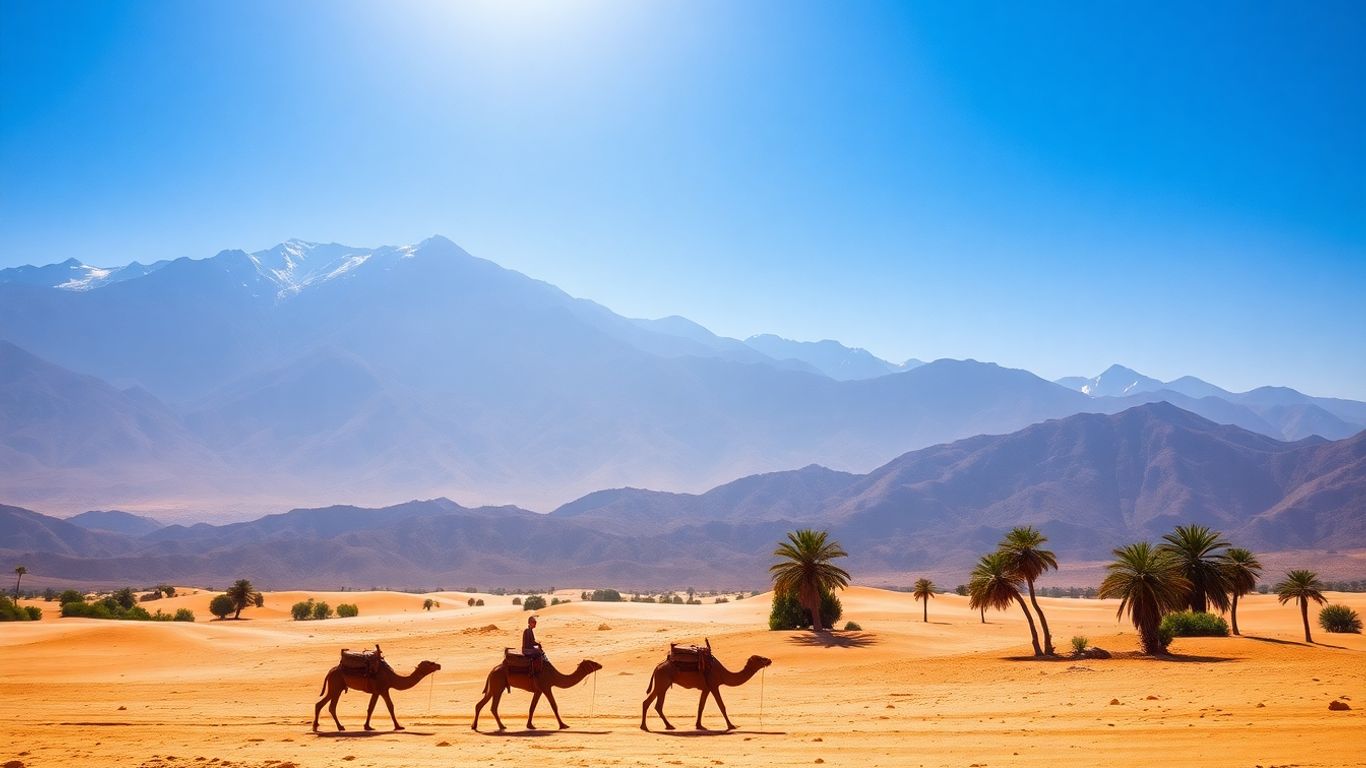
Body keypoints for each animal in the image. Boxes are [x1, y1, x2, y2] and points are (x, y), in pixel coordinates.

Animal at [312, 657, 441, 732]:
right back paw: (340, 727)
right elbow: (390, 706)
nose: (439, 665)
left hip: (335, 687)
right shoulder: (383, 689)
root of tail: (330, 671)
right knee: (331, 706)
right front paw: (398, 726)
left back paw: (316, 726)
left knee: (320, 704)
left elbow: (371, 708)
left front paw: (367, 726)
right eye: (430, 663)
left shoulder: (376, 692)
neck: (392, 677)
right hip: (336, 686)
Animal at [471, 657, 603, 732]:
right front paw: (563, 725)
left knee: (480, 704)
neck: (554, 675)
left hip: (494, 686)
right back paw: (501, 726)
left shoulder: (539, 691)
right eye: (591, 662)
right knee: (493, 707)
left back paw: (475, 726)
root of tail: (491, 670)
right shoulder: (546, 687)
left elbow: (532, 707)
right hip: (498, 685)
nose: (600, 665)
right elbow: (554, 706)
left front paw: (530, 725)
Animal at [640, 648, 772, 731]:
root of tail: (657, 667)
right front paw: (731, 725)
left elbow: (701, 707)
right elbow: (721, 706)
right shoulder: (713, 685)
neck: (723, 674)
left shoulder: (706, 688)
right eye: (759, 659)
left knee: (652, 704)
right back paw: (653, 726)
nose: (769, 660)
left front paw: (699, 726)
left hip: (662, 684)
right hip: (662, 682)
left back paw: (657, 726)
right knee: (652, 703)